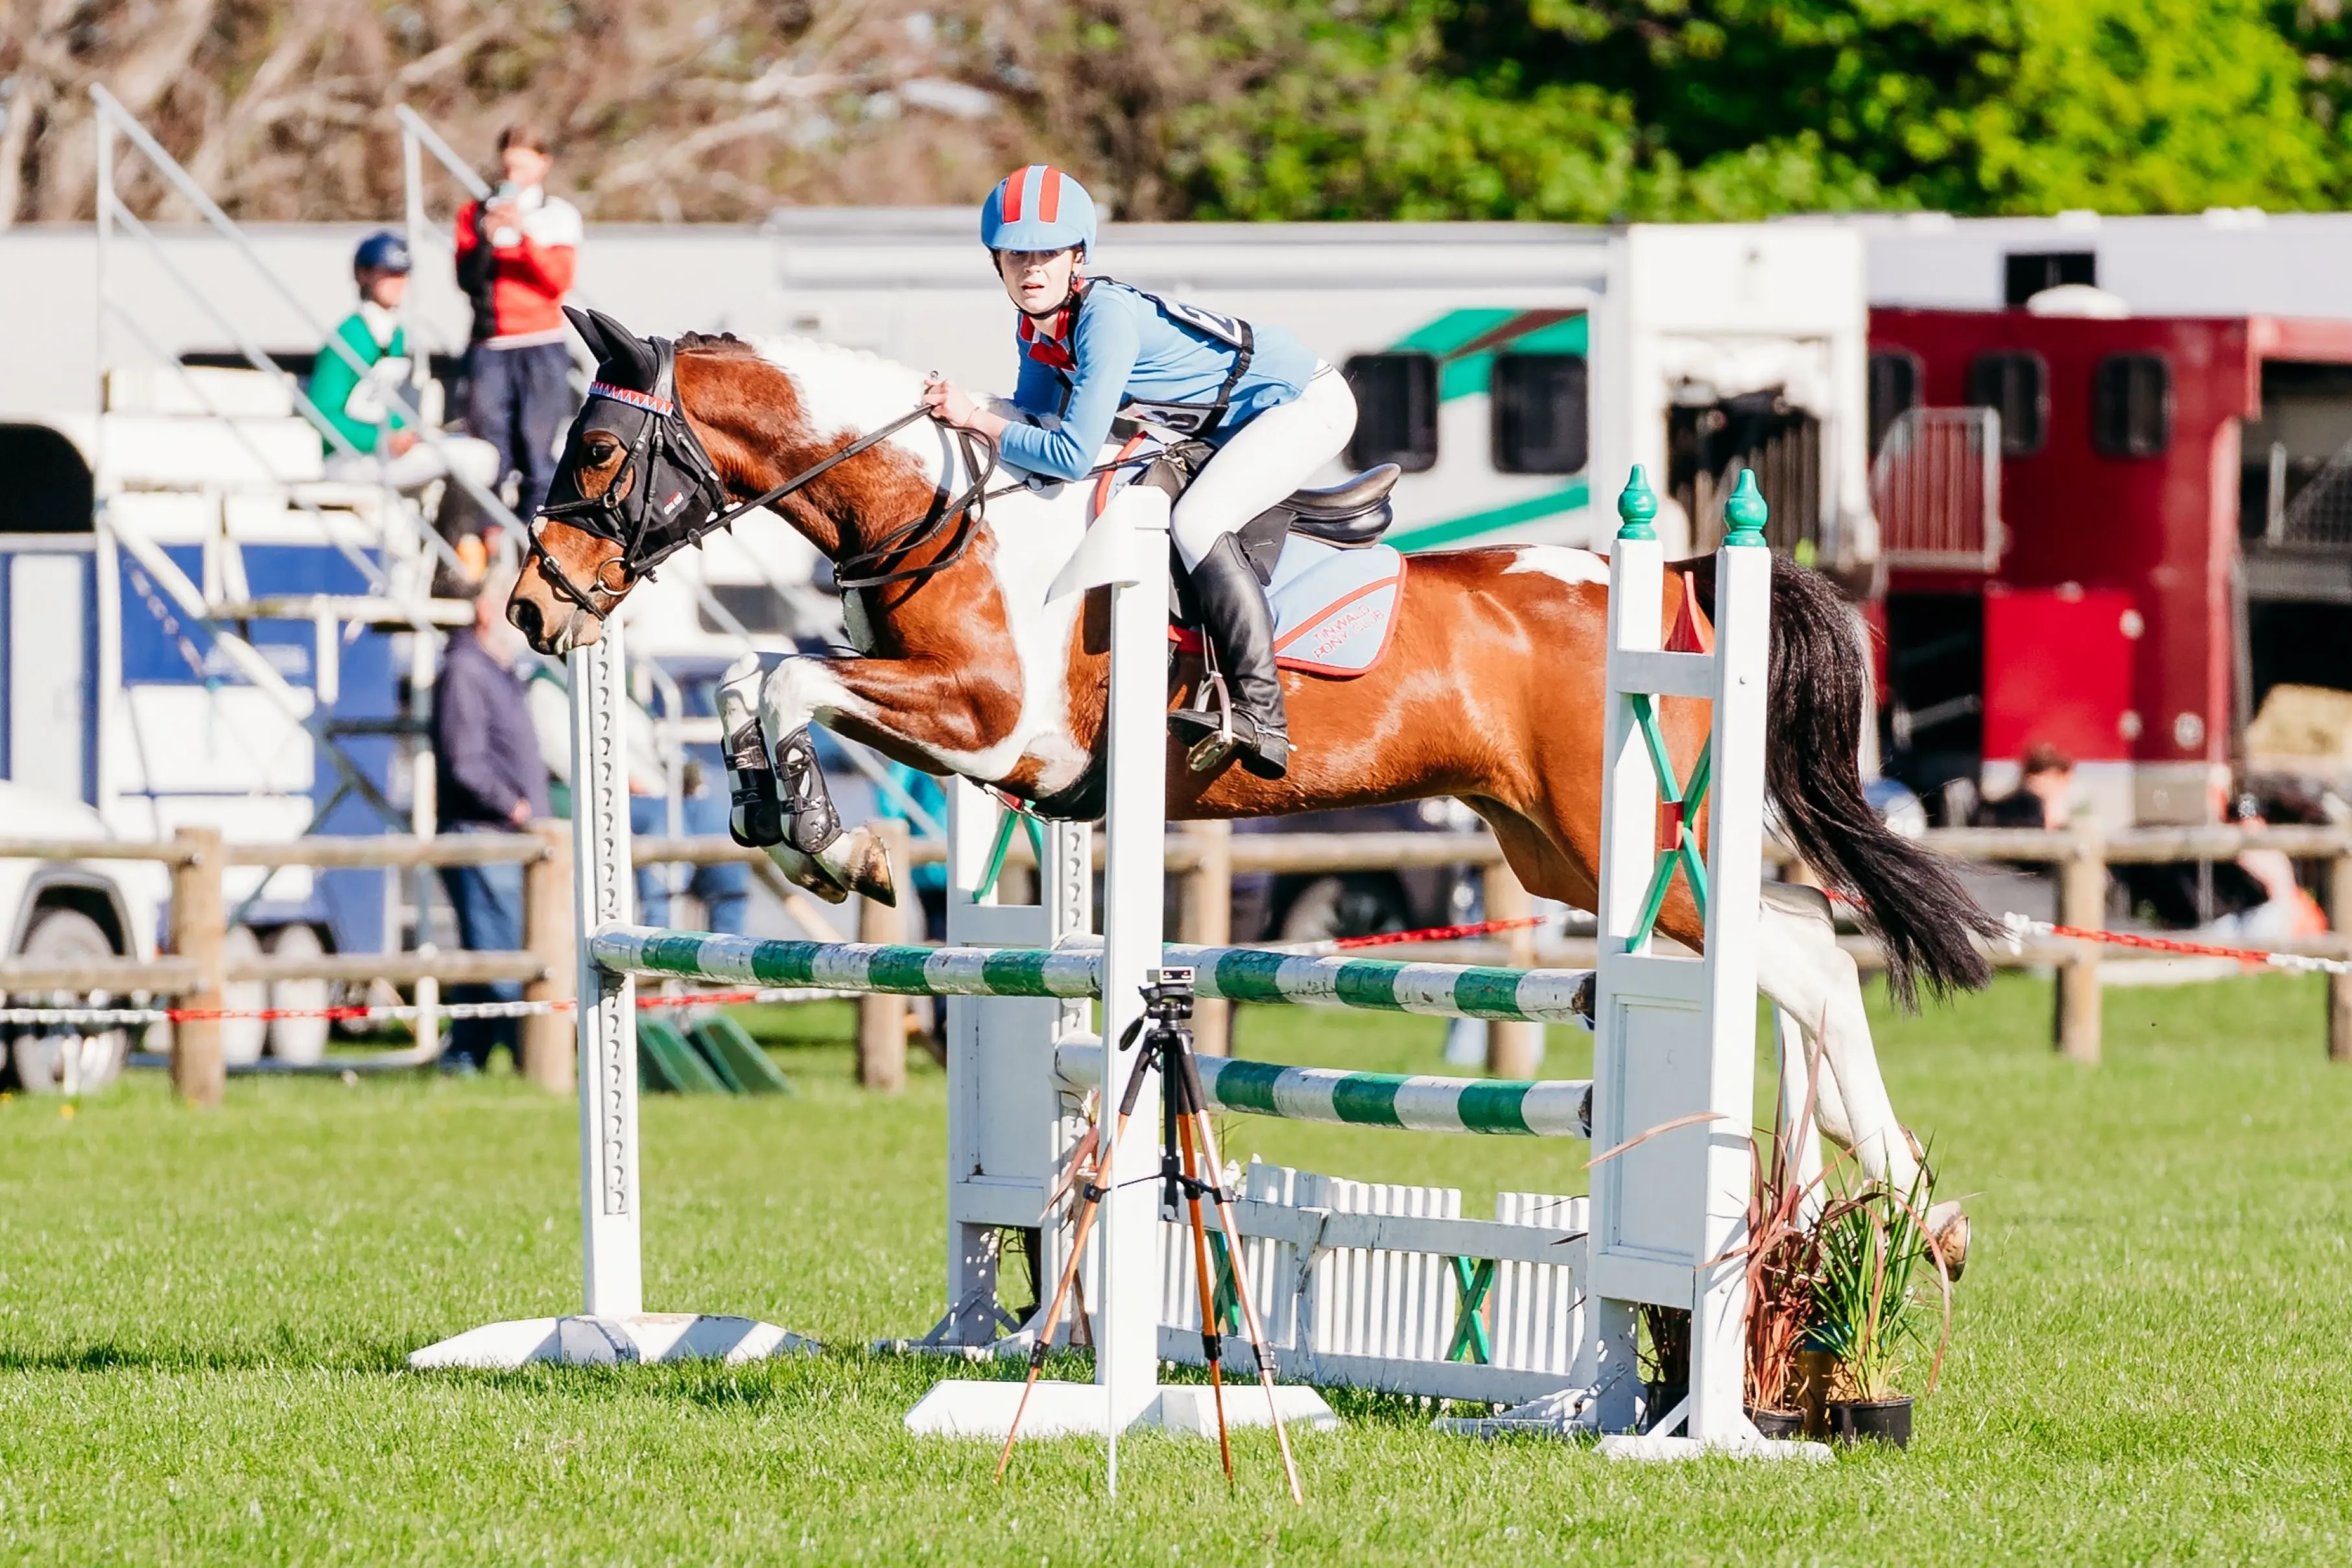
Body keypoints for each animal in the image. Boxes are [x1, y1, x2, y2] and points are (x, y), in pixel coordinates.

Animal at [510, 307, 1995, 1266]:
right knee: (1795, 946)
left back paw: (1904, 1213)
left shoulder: (995, 729)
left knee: (1807, 963)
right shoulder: (966, 733)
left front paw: (831, 842)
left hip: (1628, 847)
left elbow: (784, 677)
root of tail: (1679, 581)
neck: (943, 508)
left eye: (598, 453)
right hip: (1560, 851)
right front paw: (783, 819)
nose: (535, 608)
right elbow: (744, 676)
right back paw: (1844, 1211)